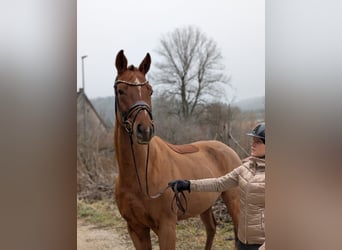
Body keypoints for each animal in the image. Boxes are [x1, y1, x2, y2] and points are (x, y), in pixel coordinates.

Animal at [114, 49, 240, 249]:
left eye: (150, 91)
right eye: (121, 91)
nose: (145, 130)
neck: (141, 175)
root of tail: (228, 150)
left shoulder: (167, 227)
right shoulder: (135, 228)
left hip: (233, 199)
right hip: (205, 204)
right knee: (211, 228)